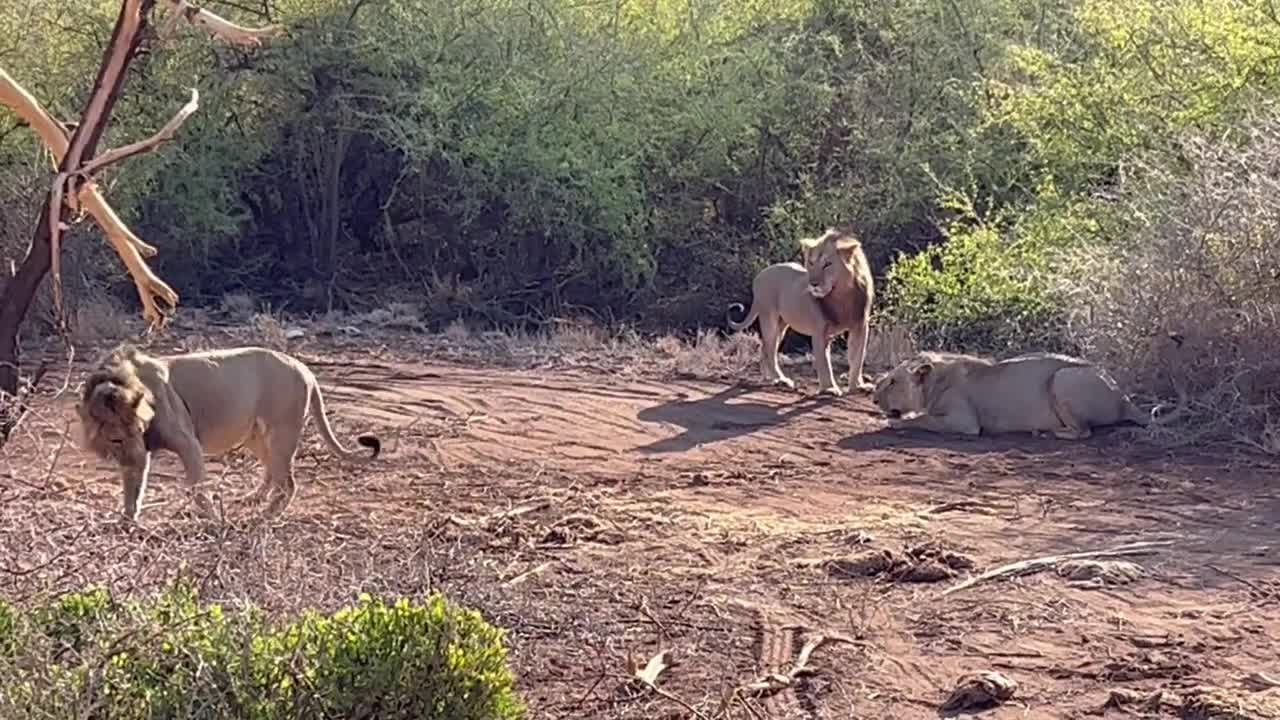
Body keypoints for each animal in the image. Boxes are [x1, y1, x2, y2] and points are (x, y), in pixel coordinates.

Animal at [74, 343, 378, 517]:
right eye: (116, 439)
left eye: (138, 429)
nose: (138, 456)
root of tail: (306, 370)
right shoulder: (134, 455)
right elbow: (132, 489)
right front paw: (126, 521)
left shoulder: (187, 443)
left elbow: (198, 488)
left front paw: (214, 521)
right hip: (255, 436)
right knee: (273, 472)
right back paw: (252, 499)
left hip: (282, 432)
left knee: (288, 484)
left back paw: (265, 516)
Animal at [727, 225, 875, 394]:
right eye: (811, 262)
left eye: (827, 264)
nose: (813, 284)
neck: (842, 296)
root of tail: (758, 276)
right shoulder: (819, 331)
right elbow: (824, 363)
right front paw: (830, 388)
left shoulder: (860, 326)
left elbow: (858, 358)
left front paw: (858, 386)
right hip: (769, 317)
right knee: (770, 350)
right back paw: (781, 380)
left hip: (781, 325)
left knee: (765, 349)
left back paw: (769, 378)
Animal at [875, 348, 1182, 438]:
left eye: (892, 382)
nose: (874, 399)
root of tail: (1123, 397)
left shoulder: (964, 422)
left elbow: (924, 419)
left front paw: (894, 422)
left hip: (1062, 378)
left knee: (1083, 432)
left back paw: (1048, 433)